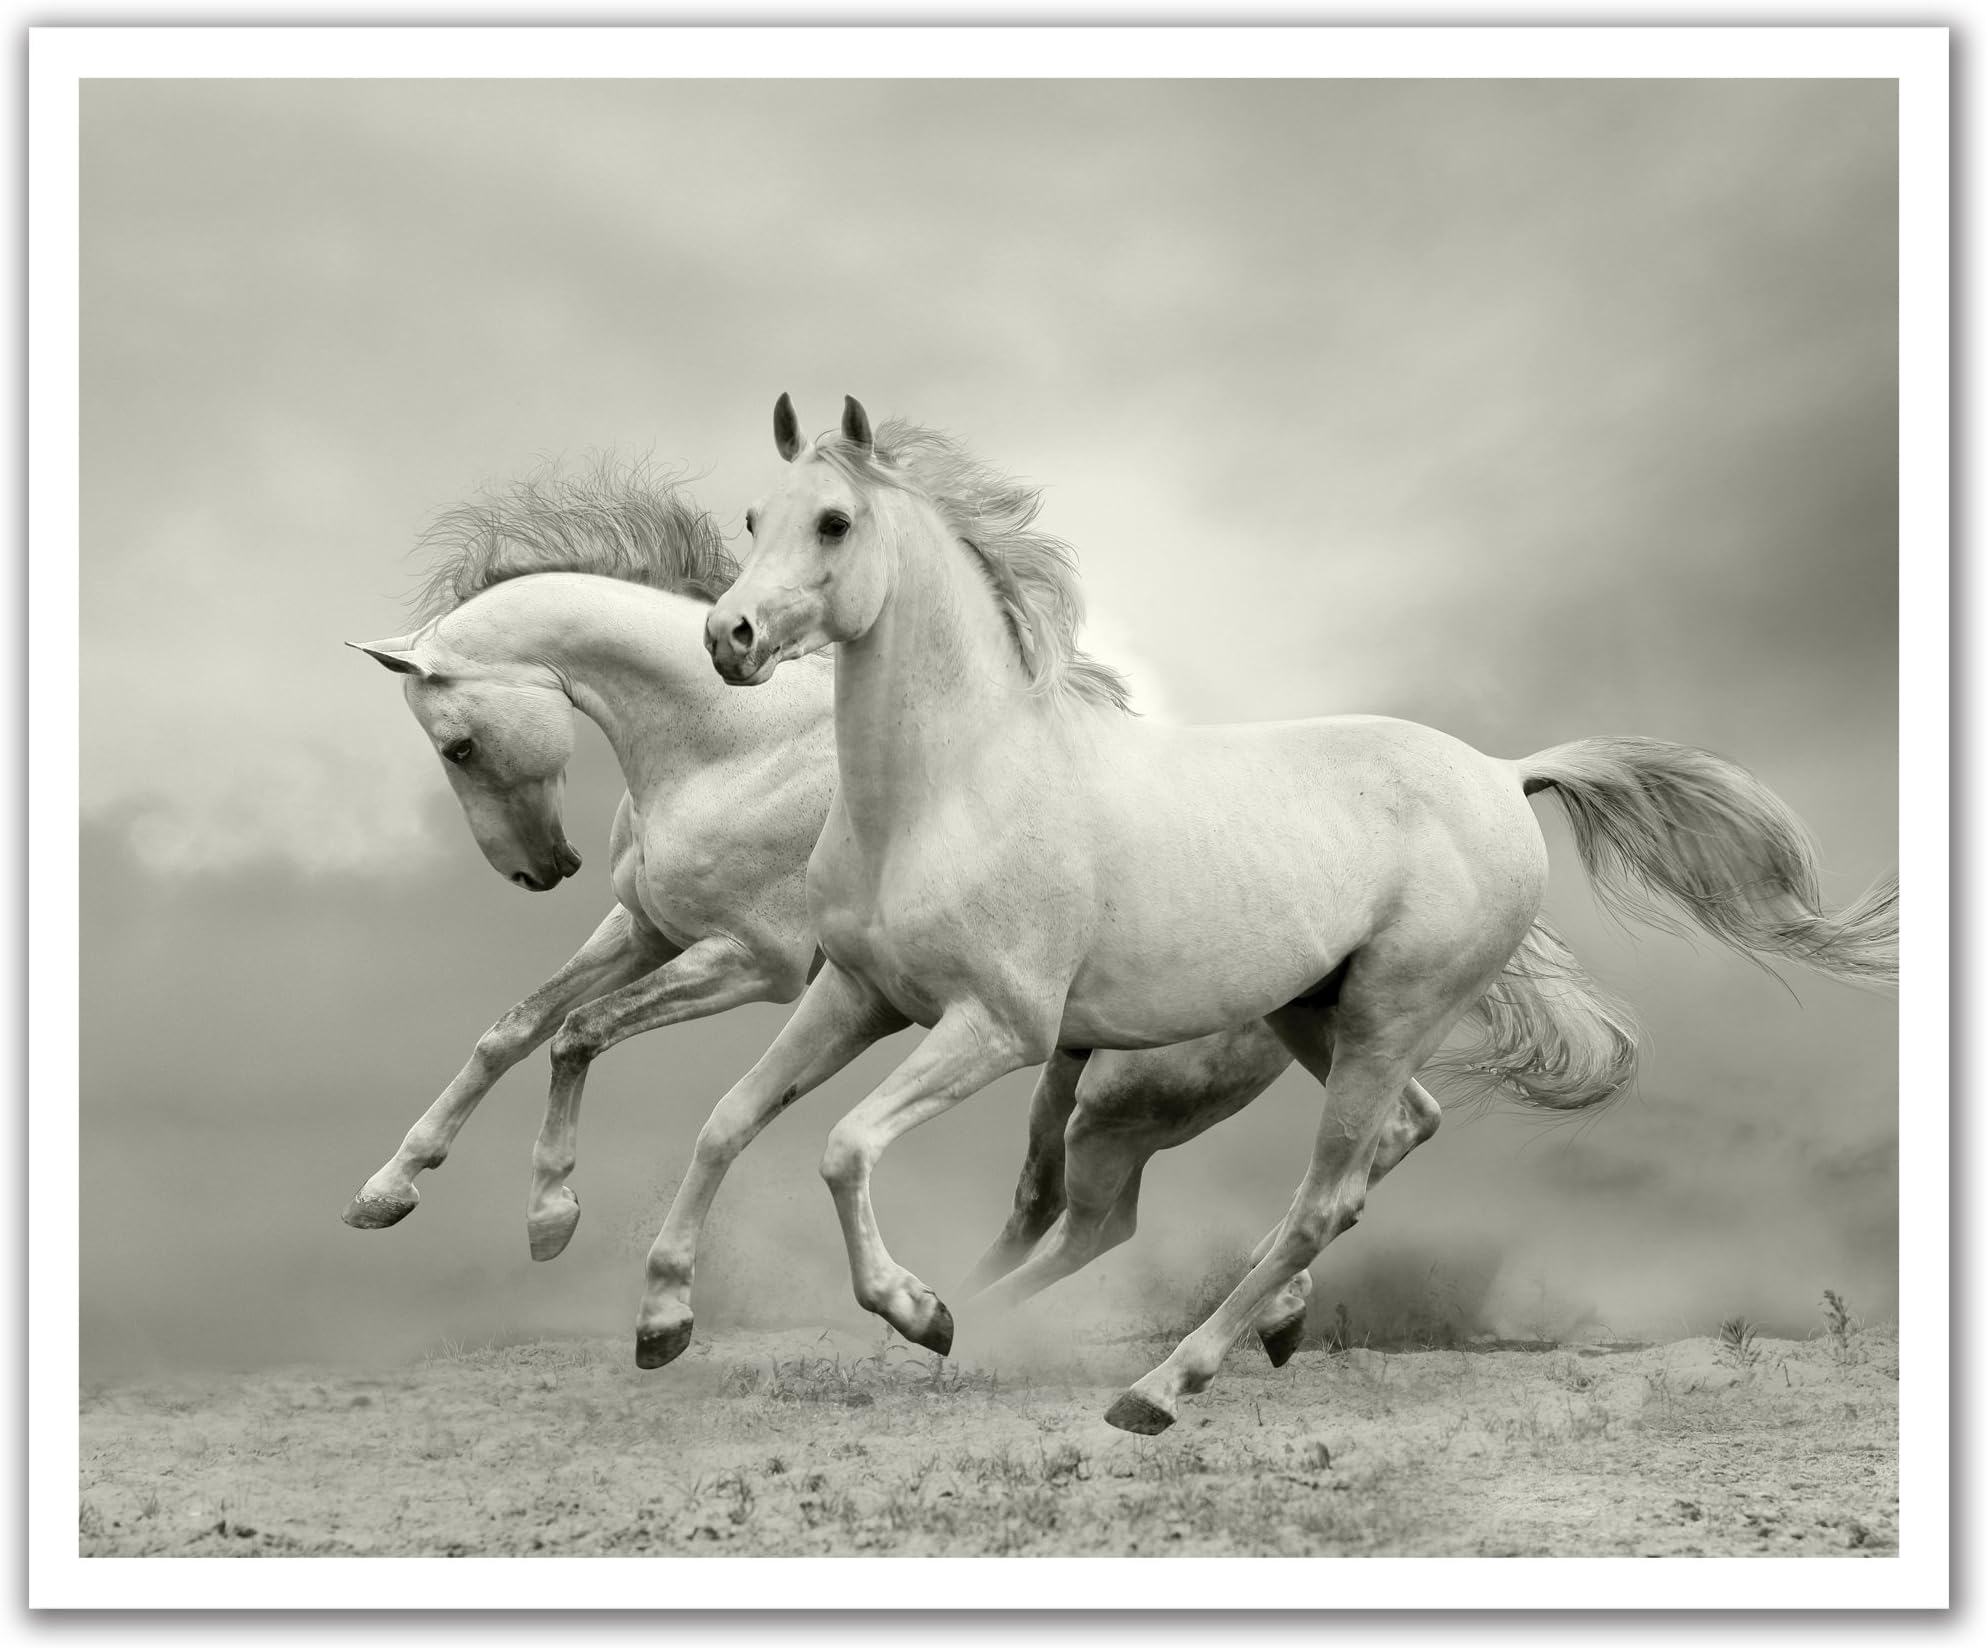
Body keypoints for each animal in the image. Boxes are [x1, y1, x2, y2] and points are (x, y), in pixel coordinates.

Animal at [338, 461, 1316, 1360]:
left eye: (459, 747)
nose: (541, 871)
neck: (733, 745)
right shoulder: (648, 930)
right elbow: (512, 1030)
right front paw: (388, 1190)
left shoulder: (752, 964)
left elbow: (580, 1033)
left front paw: (551, 1217)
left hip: (1127, 1087)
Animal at [685, 393, 1898, 1434]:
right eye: (752, 516)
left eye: (834, 521)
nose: (728, 637)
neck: (951, 787)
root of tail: (1505, 775)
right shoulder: (860, 995)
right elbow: (729, 1122)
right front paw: (663, 1319)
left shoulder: (998, 1027)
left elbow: (843, 1145)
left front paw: (918, 1312)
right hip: (1318, 1014)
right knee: (1388, 1143)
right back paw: (1229, 1329)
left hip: (1381, 1019)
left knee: (1313, 1197)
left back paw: (1159, 1385)